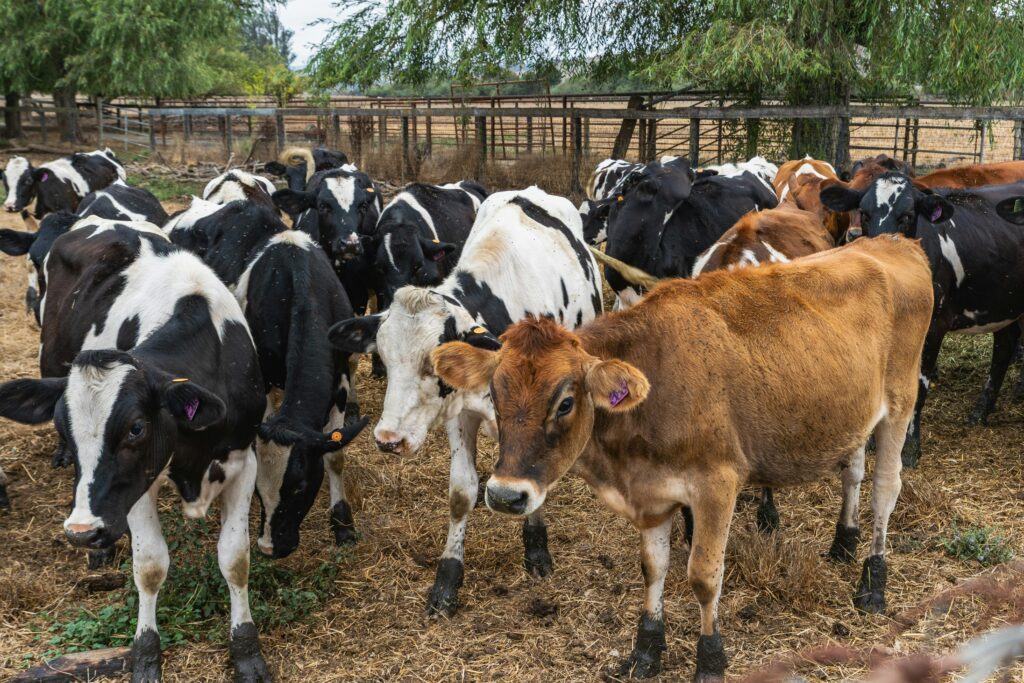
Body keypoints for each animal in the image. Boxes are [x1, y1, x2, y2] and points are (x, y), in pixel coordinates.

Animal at [0, 231, 272, 682]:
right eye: (63, 429)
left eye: (136, 428)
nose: (81, 532)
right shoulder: (141, 484)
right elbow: (149, 566)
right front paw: (145, 652)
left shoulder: (243, 461)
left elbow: (235, 559)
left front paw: (246, 650)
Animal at [164, 200, 368, 558]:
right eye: (259, 490)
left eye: (300, 486)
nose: (270, 547)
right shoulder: (267, 376)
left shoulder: (341, 378)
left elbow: (335, 454)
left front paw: (343, 523)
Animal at [328, 186, 603, 618]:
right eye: (384, 357)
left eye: (437, 363)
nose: (389, 439)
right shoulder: (460, 414)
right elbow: (461, 493)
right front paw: (447, 580)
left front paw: (537, 549)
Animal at [432, 235, 933, 680]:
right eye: (494, 395)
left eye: (566, 402)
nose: (505, 496)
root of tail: (895, 242)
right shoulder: (653, 493)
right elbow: (653, 568)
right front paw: (647, 649)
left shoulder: (717, 485)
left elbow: (703, 576)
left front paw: (710, 659)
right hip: (852, 414)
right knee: (853, 472)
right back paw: (843, 544)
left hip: (899, 404)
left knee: (884, 491)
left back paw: (873, 585)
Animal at [821, 172, 1024, 466]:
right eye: (864, 213)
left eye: (906, 216)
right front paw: (873, 442)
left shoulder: (933, 327)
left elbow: (920, 385)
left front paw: (909, 448)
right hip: (1002, 304)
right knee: (1005, 346)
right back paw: (980, 412)